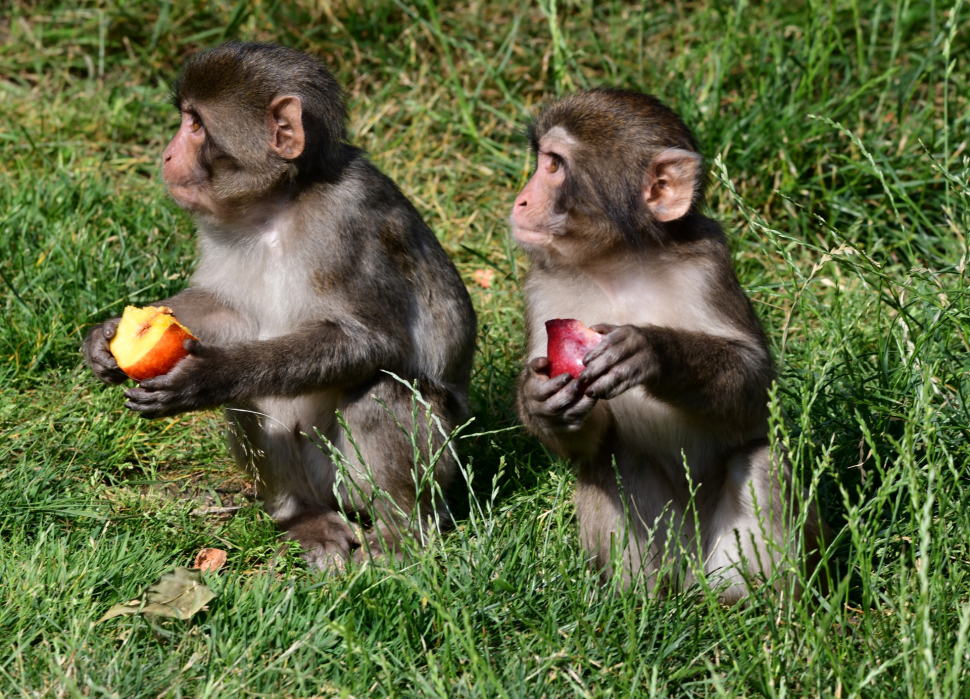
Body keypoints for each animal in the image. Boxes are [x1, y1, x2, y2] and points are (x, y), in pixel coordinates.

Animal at [83, 42, 476, 568]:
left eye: (196, 125)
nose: (166, 153)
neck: (280, 203)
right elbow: (227, 312)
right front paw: (105, 336)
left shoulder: (347, 222)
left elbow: (372, 342)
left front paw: (211, 376)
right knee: (252, 406)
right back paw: (302, 517)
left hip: (414, 470)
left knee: (383, 392)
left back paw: (400, 533)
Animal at [510, 87, 820, 600]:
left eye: (553, 165)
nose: (520, 199)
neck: (617, 266)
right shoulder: (541, 288)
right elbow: (586, 441)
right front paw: (541, 401)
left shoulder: (708, 263)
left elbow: (756, 386)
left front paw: (652, 351)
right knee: (609, 460)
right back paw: (638, 601)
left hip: (727, 559)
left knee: (763, 461)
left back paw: (773, 607)